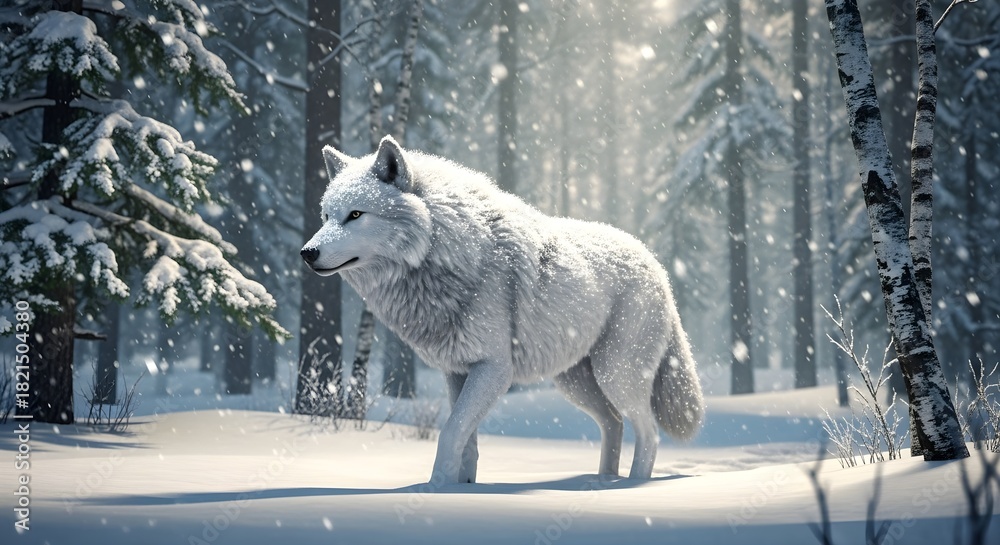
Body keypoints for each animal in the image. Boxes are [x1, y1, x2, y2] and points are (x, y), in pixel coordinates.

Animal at [301, 136, 703, 484]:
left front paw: (433, 491)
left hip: (614, 374)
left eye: (356, 214)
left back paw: (631, 487)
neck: (446, 253)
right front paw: (460, 489)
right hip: (576, 383)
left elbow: (450, 433)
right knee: (614, 423)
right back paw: (602, 482)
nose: (307, 252)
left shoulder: (494, 369)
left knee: (649, 433)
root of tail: (657, 266)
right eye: (326, 216)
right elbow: (467, 443)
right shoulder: (456, 372)